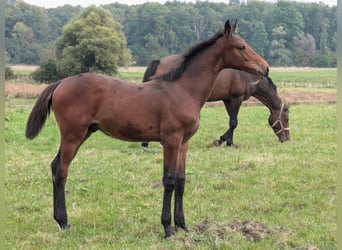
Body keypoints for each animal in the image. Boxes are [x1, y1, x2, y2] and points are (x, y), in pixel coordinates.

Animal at [25, 20, 268, 238]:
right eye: (241, 46)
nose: (265, 67)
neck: (183, 89)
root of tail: (60, 83)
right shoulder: (171, 140)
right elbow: (168, 180)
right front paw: (168, 228)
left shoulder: (184, 142)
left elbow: (181, 181)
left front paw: (183, 226)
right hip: (72, 136)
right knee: (61, 170)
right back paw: (64, 222)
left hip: (83, 133)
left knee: (55, 165)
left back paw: (60, 220)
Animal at [142, 54, 288, 148]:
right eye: (286, 118)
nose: (286, 138)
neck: (247, 76)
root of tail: (159, 61)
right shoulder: (237, 98)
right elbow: (234, 122)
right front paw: (224, 141)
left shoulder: (228, 100)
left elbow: (231, 121)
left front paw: (226, 141)